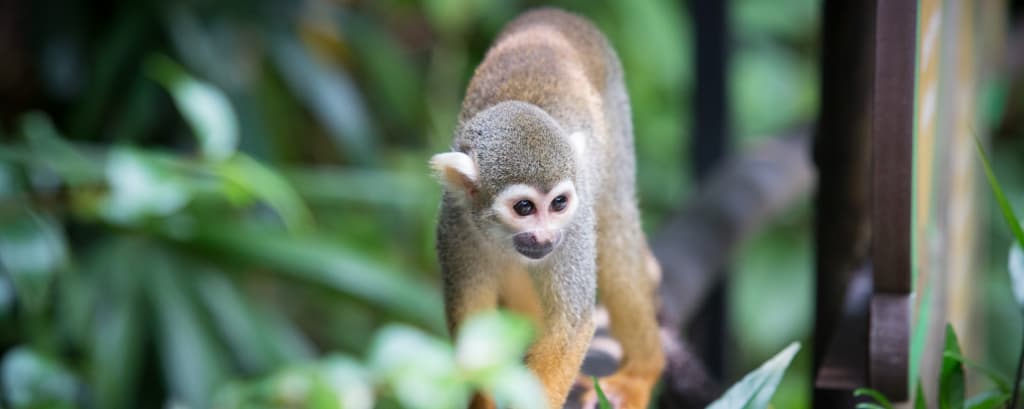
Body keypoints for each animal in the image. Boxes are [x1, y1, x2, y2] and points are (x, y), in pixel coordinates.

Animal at [430, 8, 664, 409]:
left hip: (616, 121)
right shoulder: (456, 225)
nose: (546, 236)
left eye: (558, 203)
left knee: (616, 239)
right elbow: (473, 325)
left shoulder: (573, 225)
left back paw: (642, 373)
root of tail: (555, 14)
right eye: (524, 207)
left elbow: (571, 324)